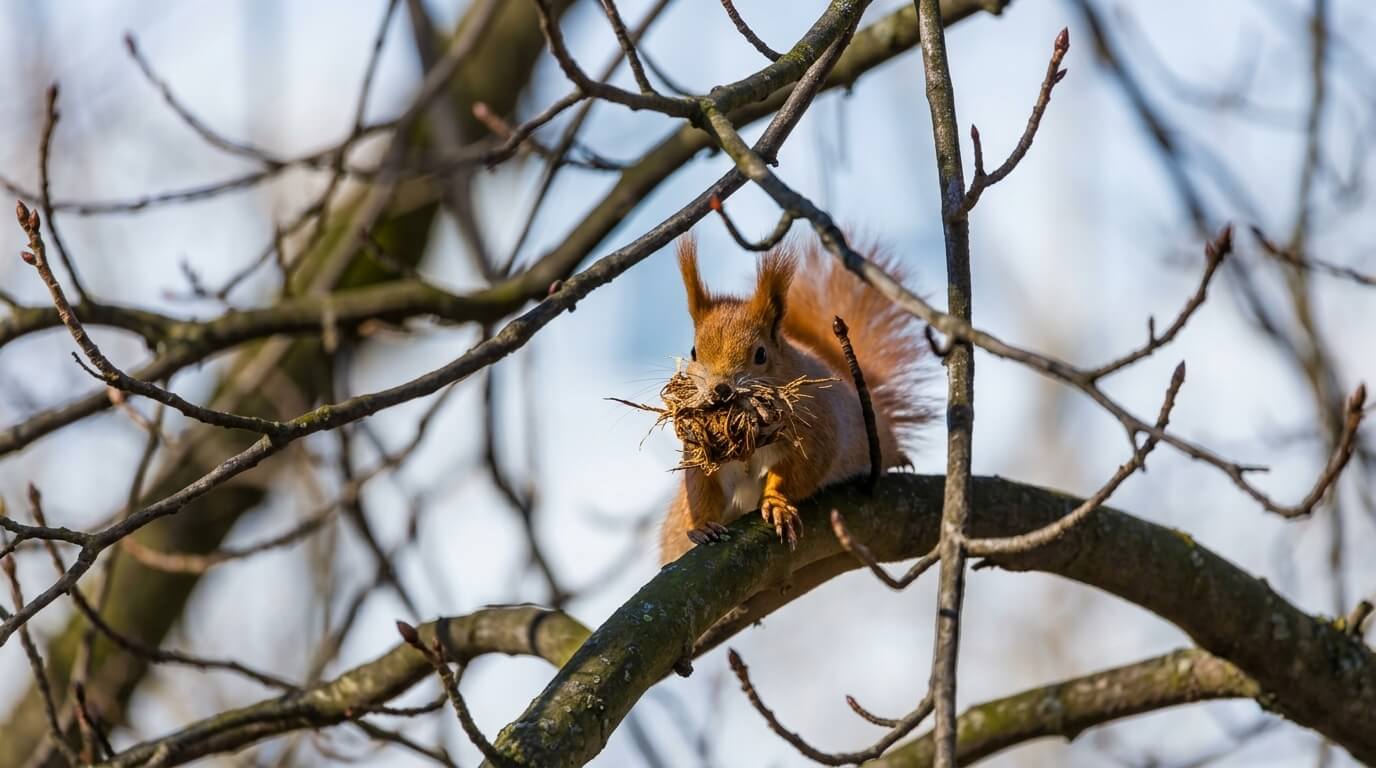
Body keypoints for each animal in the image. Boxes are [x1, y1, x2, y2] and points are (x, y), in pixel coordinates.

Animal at [659, 234, 930, 563]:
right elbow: (701, 487)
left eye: (760, 354)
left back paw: (899, 459)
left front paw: (776, 503)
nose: (721, 389)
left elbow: (797, 473)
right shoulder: (701, 453)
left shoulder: (816, 430)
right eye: (694, 352)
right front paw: (702, 526)